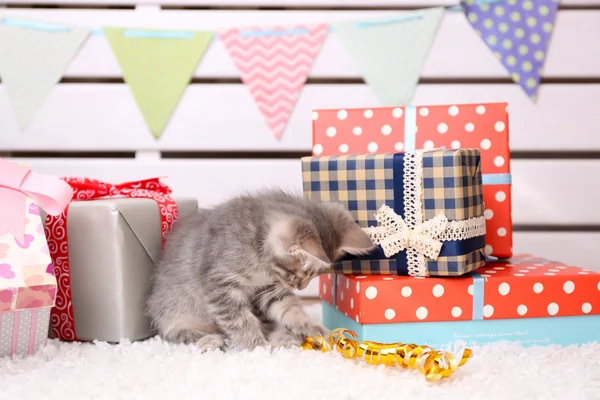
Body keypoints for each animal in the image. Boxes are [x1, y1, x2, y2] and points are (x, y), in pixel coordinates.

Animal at [145, 189, 372, 352]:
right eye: (299, 274)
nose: (302, 287)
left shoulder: (266, 289)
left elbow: (287, 307)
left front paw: (308, 325)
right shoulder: (219, 285)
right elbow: (240, 321)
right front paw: (257, 347)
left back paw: (284, 337)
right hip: (174, 314)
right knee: (184, 333)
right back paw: (210, 340)